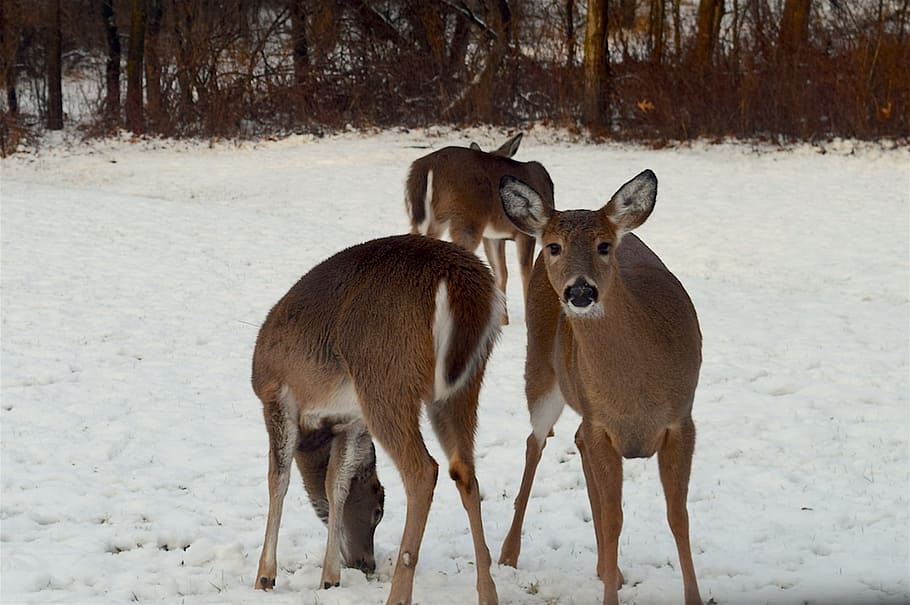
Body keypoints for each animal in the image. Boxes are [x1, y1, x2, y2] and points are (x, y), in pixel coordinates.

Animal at [251, 234, 503, 605]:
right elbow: (336, 484)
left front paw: (265, 577)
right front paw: (329, 579)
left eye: (379, 511)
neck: (316, 433)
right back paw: (487, 592)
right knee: (464, 469)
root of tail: (462, 283)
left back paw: (398, 594)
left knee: (423, 470)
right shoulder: (352, 420)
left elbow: (278, 480)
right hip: (463, 385)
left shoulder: (275, 394)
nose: (364, 564)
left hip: (385, 376)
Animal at [405, 133, 554, 325]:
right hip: (467, 219)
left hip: (424, 220)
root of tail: (428, 167)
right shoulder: (525, 233)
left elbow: (501, 273)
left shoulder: (493, 236)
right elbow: (525, 271)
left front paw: (503, 320)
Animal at [496, 169, 703, 605]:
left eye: (604, 245)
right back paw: (508, 554)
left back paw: (608, 569)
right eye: (555, 246)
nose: (580, 290)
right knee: (535, 442)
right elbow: (613, 520)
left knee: (572, 438)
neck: (634, 390)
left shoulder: (682, 419)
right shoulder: (602, 425)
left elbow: (678, 516)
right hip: (540, 370)